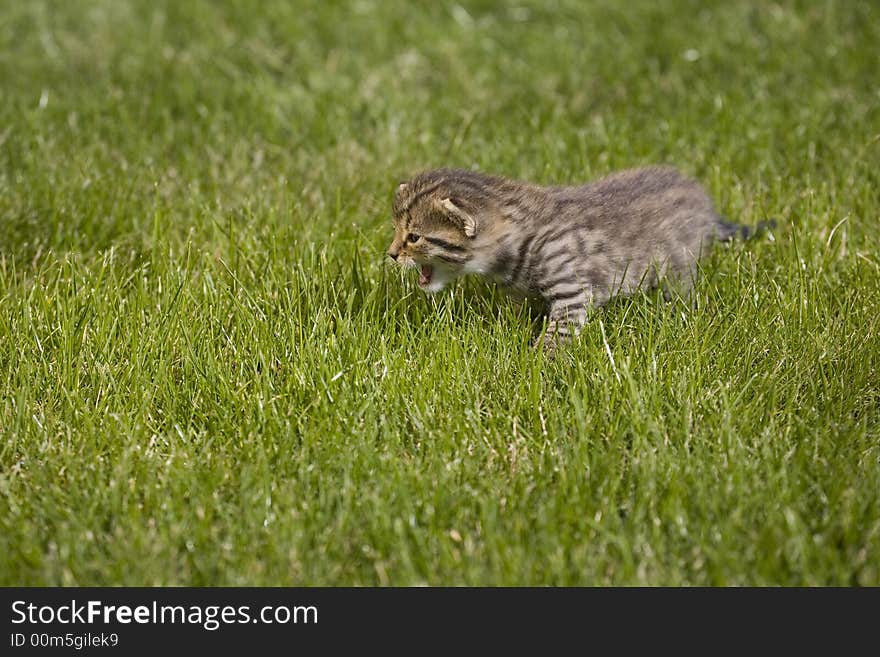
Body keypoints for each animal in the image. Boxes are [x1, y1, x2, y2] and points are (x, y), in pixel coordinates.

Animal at [386, 167, 768, 352]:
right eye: (397, 231)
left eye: (413, 237)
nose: (390, 254)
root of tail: (706, 206)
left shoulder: (571, 287)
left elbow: (558, 334)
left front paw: (536, 365)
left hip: (681, 264)